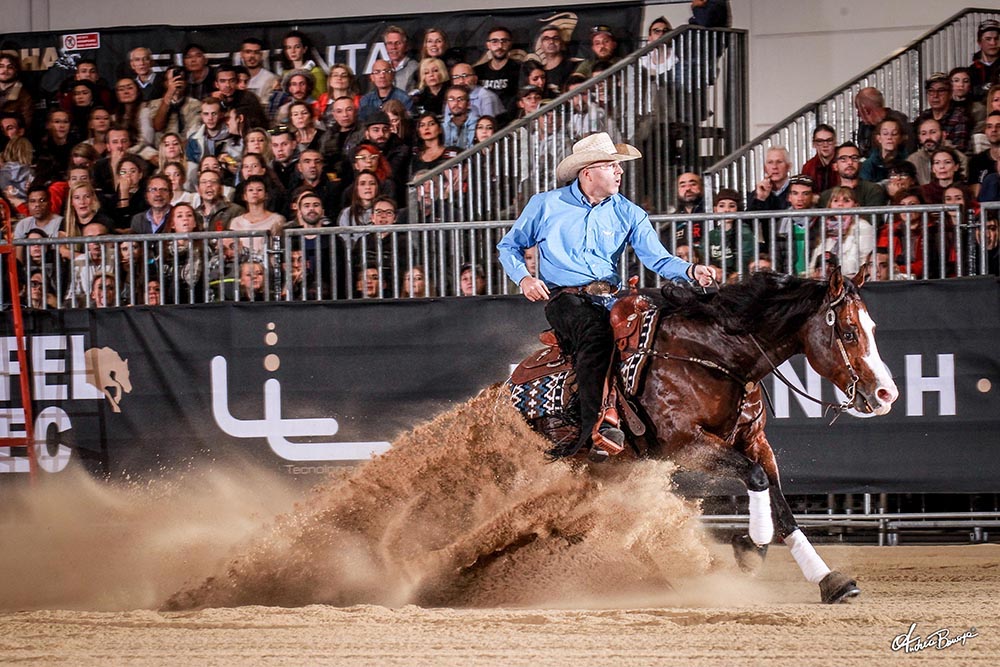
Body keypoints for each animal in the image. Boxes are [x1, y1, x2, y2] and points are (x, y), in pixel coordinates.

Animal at [512, 268, 896, 604]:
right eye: (849, 331)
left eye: (873, 328)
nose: (886, 394)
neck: (716, 356)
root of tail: (509, 388)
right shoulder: (686, 445)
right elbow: (756, 479)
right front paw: (750, 547)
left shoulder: (754, 440)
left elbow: (780, 504)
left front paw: (828, 579)